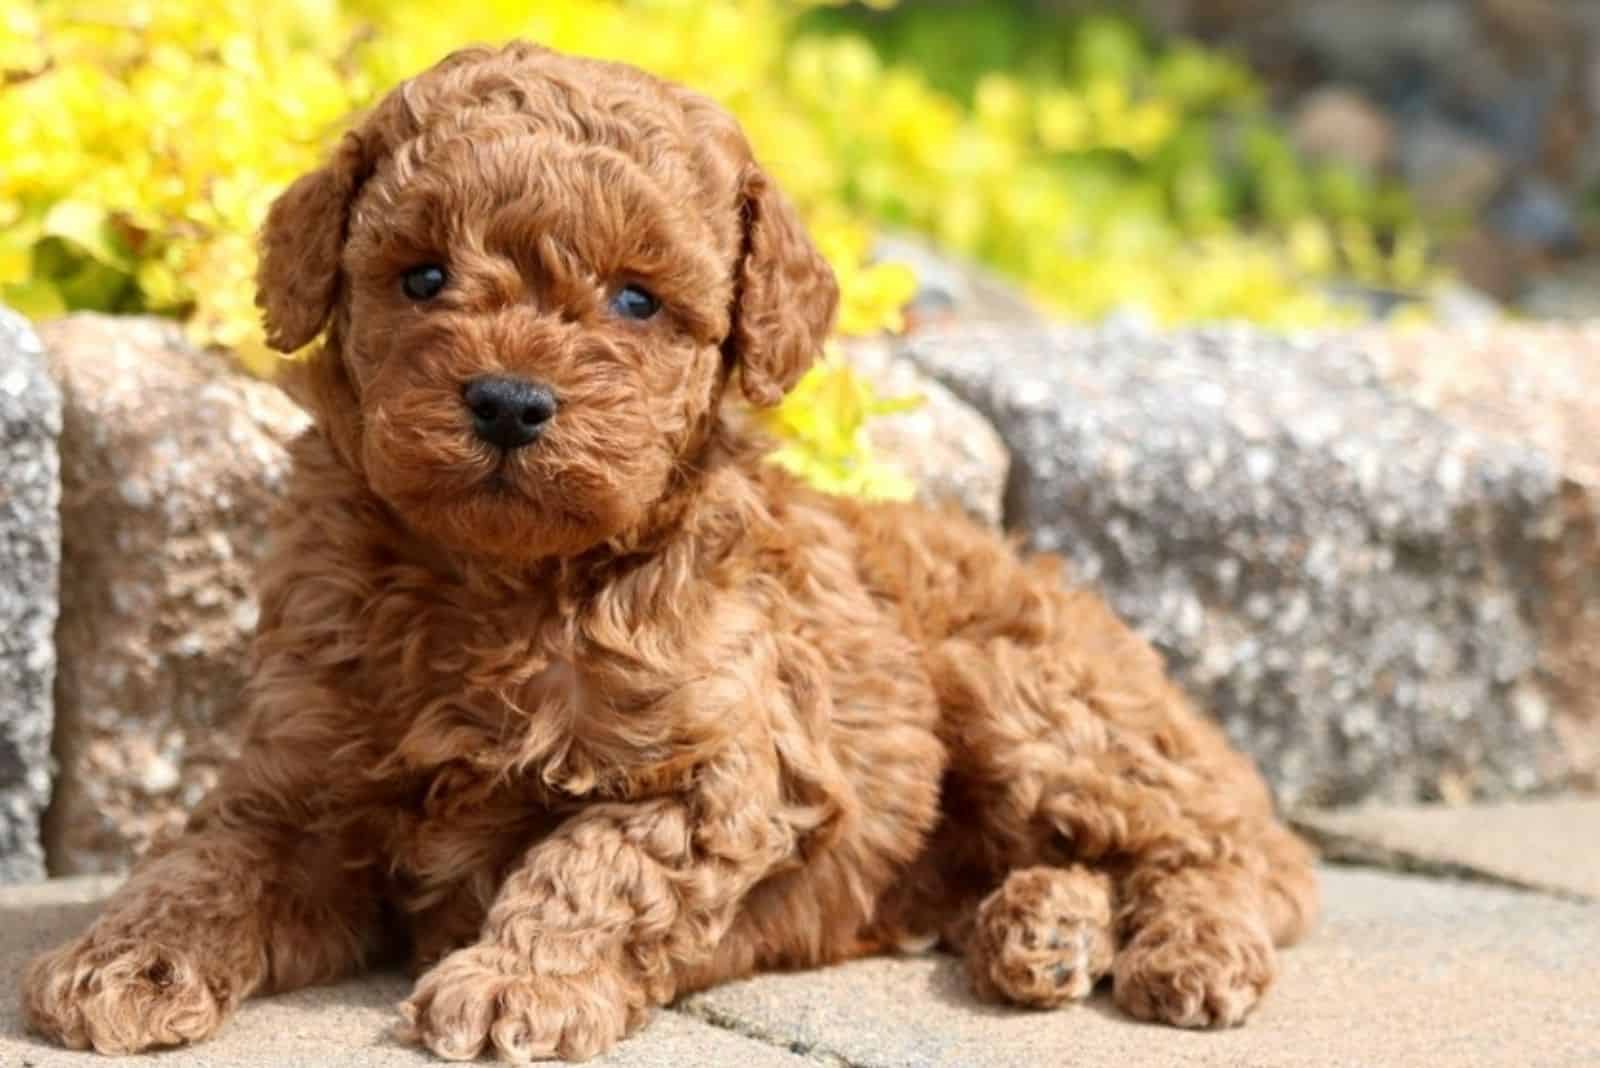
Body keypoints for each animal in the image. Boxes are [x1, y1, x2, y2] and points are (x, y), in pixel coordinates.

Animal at [25, 39, 1318, 1061]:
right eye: (422, 276)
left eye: (636, 301)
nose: (507, 401)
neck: (501, 587)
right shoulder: (300, 774)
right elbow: (206, 861)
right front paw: (122, 962)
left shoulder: (723, 772)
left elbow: (595, 865)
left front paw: (517, 983)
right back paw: (1040, 928)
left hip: (1030, 696)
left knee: (1236, 855)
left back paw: (1185, 950)